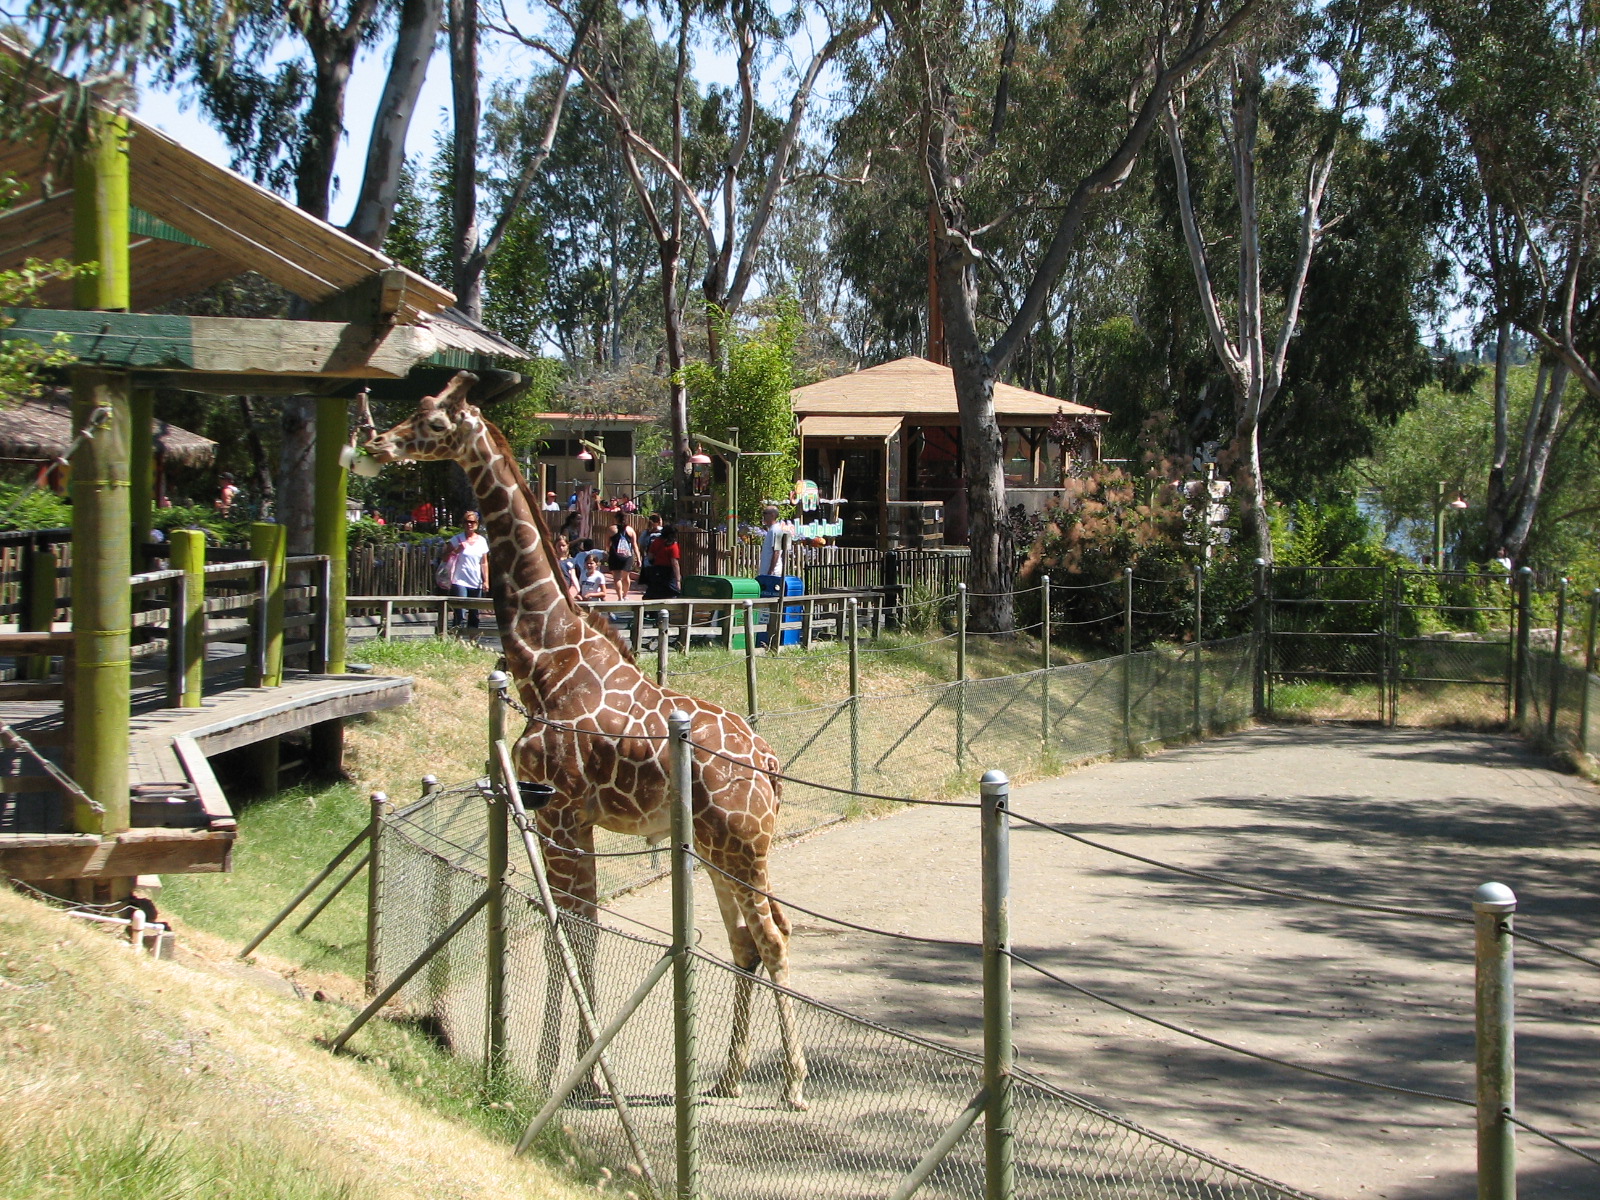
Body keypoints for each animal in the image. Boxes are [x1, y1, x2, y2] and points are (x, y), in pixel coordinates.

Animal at [366, 371, 808, 1110]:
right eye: (416, 410)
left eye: (434, 422)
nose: (377, 445)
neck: (545, 661)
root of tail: (770, 764)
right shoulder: (555, 815)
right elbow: (569, 930)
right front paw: (569, 1068)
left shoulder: (564, 813)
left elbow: (575, 932)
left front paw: (572, 1072)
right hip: (717, 846)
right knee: (745, 940)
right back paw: (728, 1076)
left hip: (743, 844)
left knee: (772, 938)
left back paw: (795, 1085)